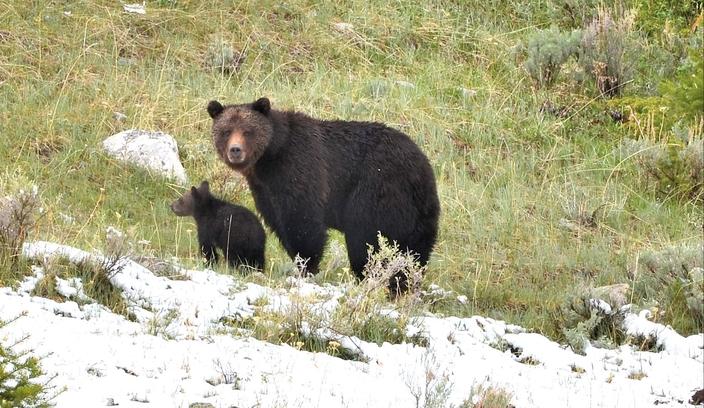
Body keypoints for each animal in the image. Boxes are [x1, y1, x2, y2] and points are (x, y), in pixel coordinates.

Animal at [205, 97, 440, 292]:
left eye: (247, 131)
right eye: (226, 131)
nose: (235, 150)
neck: (269, 158)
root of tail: (422, 166)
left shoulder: (298, 167)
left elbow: (303, 222)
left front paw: (307, 267)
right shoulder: (265, 190)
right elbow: (279, 222)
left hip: (378, 189)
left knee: (366, 238)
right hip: (420, 212)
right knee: (415, 250)